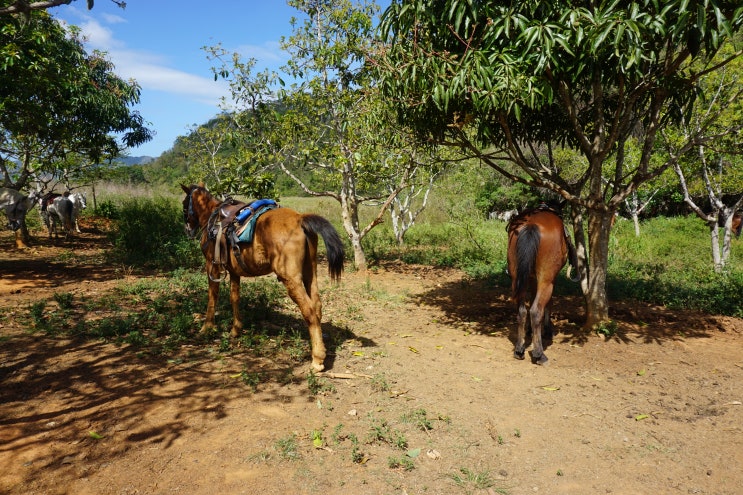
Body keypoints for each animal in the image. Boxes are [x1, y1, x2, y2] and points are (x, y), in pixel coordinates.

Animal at [180, 184, 346, 370]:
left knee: (309, 309)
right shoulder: (234, 272)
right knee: (317, 305)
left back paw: (317, 358)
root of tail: (300, 219)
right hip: (310, 272)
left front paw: (207, 327)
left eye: (185, 205)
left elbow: (212, 297)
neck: (212, 217)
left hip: (291, 279)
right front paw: (235, 330)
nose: (188, 229)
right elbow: (234, 298)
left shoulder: (212, 267)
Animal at [506, 205, 580, 364]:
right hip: (546, 281)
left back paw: (519, 349)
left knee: (522, 311)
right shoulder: (550, 280)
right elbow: (549, 303)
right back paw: (539, 354)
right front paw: (548, 330)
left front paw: (529, 331)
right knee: (535, 311)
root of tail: (531, 224)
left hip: (516, 279)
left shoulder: (532, 278)